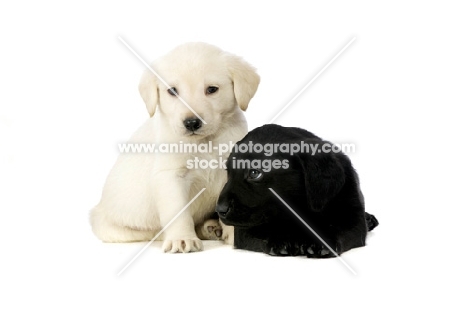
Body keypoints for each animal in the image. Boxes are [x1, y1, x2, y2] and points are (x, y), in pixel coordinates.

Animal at [89, 42, 260, 254]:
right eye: (172, 91)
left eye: (212, 89)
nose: (192, 123)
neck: (206, 141)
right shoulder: (170, 176)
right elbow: (178, 212)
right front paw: (182, 238)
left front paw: (236, 234)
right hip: (115, 229)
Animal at [218, 124, 378, 258]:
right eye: (228, 172)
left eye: (254, 173)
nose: (220, 210)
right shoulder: (244, 231)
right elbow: (264, 231)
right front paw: (282, 240)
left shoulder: (353, 221)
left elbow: (337, 229)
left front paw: (321, 242)